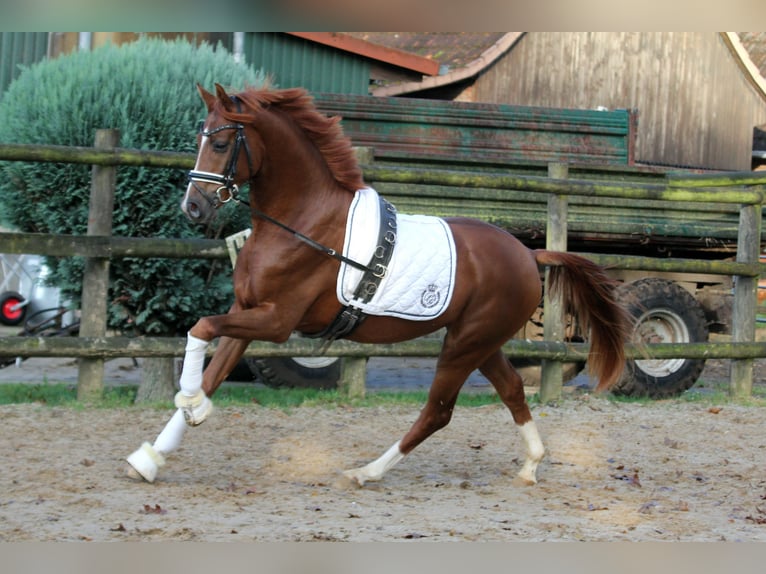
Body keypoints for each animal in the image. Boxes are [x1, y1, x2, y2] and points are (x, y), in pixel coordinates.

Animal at [126, 83, 632, 488]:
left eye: (222, 141)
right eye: (201, 137)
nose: (193, 207)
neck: (300, 222)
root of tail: (529, 254)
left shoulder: (276, 321)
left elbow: (200, 328)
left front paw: (191, 401)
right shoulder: (246, 310)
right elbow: (213, 364)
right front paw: (150, 458)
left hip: (466, 343)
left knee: (438, 411)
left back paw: (365, 472)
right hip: (481, 342)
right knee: (511, 391)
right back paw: (530, 465)